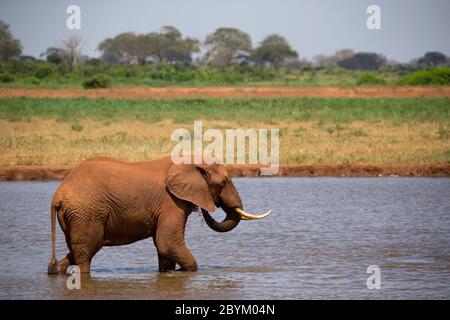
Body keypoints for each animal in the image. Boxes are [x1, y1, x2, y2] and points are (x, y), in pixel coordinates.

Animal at [46, 156, 270, 274]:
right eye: (224, 182)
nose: (207, 207)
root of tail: (58, 194)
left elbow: (163, 245)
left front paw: (170, 274)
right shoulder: (171, 202)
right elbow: (167, 242)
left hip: (77, 215)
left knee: (76, 250)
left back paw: (55, 271)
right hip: (86, 213)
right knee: (87, 251)